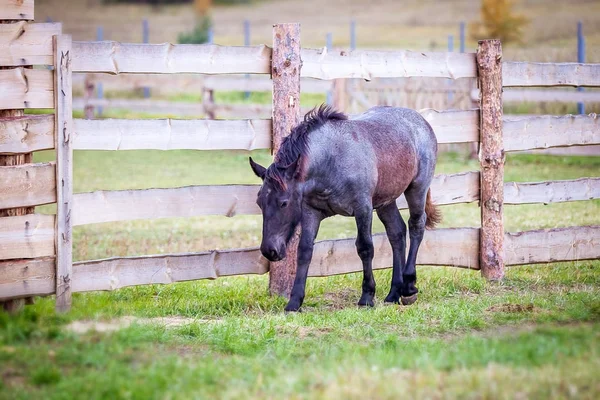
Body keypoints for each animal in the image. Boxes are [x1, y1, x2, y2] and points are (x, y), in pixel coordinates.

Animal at [248, 104, 440, 310]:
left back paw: (409, 287)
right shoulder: (311, 212)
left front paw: (367, 297)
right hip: (386, 202)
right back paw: (393, 293)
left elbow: (365, 248)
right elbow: (304, 250)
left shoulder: (363, 208)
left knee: (416, 226)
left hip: (417, 189)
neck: (331, 159)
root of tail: (420, 120)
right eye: (259, 202)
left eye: (284, 203)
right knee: (397, 233)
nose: (269, 250)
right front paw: (294, 302)